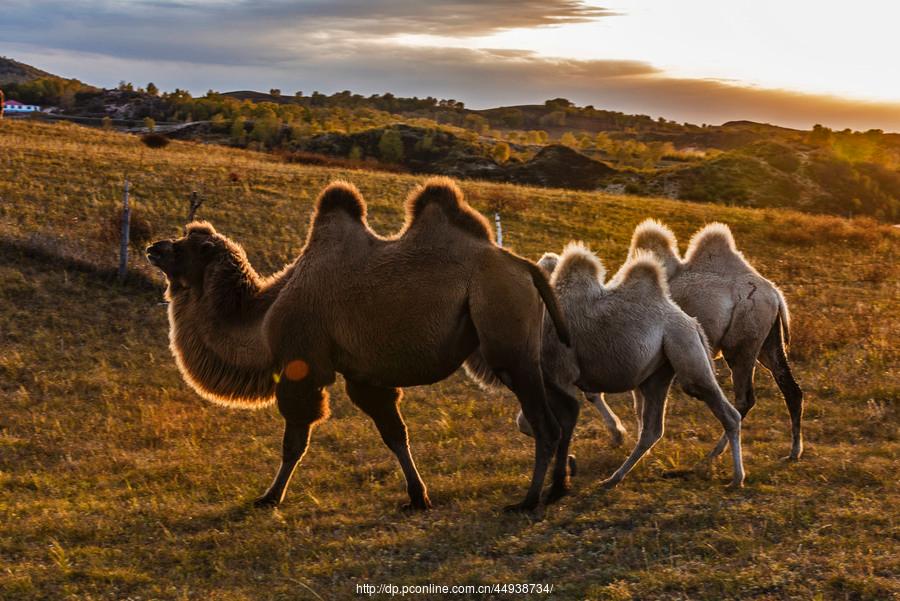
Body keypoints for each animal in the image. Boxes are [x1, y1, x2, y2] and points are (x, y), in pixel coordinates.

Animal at [147, 178, 568, 510]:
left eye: (188, 247)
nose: (154, 247)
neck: (264, 319)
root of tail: (526, 268)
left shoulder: (302, 368)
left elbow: (294, 441)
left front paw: (269, 497)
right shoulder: (364, 376)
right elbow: (394, 433)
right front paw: (418, 497)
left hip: (505, 336)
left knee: (544, 422)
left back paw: (528, 500)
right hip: (525, 348)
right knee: (562, 410)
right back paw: (557, 489)